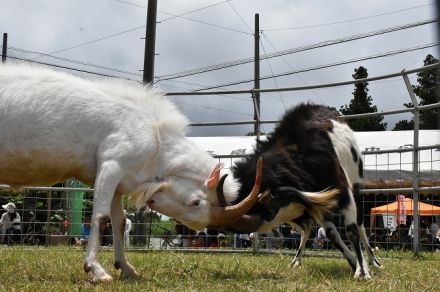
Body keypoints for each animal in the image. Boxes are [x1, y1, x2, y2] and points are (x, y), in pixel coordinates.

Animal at [225, 104, 380, 280]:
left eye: (270, 211)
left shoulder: (341, 188)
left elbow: (352, 230)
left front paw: (362, 272)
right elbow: (331, 233)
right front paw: (355, 264)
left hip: (355, 185)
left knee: (359, 224)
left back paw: (374, 262)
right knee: (308, 228)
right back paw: (296, 261)